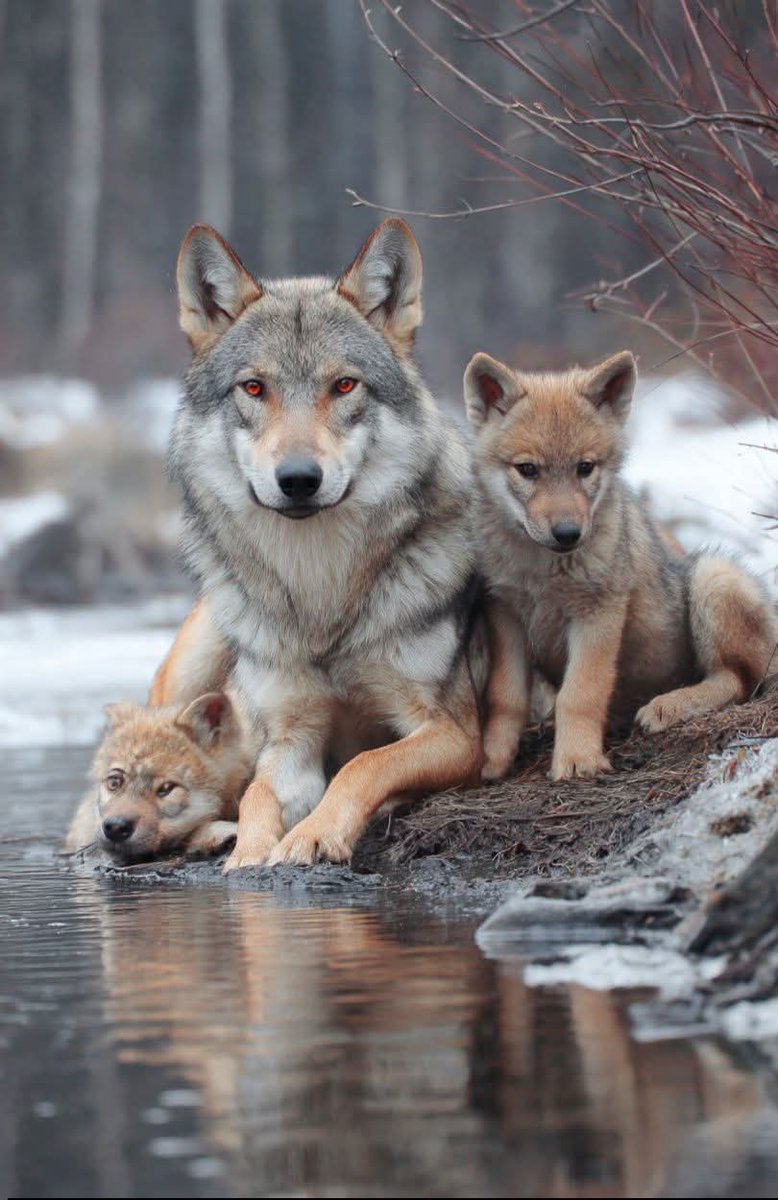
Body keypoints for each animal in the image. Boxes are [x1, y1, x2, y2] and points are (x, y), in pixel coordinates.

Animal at [149, 219, 482, 869]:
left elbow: (365, 763)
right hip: (195, 665)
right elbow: (258, 793)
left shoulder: (454, 731)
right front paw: (251, 853)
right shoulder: (293, 734)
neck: (322, 593)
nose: (299, 478)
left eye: (344, 385)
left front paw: (313, 835)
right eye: (254, 388)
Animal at [465, 349, 776, 782]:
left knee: (737, 679)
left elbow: (578, 694)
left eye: (585, 467)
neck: (544, 572)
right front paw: (494, 759)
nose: (567, 533)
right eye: (527, 470)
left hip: (713, 577)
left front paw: (577, 760)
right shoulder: (506, 615)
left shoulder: (598, 614)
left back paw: (667, 705)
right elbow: (505, 697)